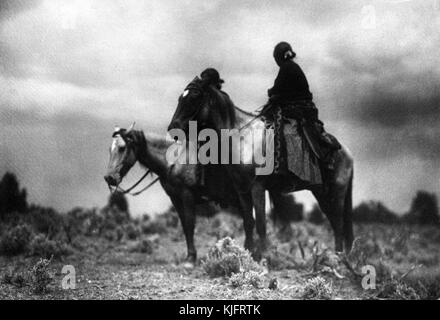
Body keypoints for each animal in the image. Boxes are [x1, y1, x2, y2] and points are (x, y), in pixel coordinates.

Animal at [168, 77, 354, 252]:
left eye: (195, 96)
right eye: (180, 98)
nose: (173, 128)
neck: (243, 139)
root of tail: (347, 153)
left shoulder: (257, 187)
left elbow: (261, 225)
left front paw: (263, 256)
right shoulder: (242, 190)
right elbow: (248, 223)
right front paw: (249, 253)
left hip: (337, 193)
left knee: (338, 223)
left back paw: (337, 257)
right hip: (321, 193)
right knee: (334, 222)